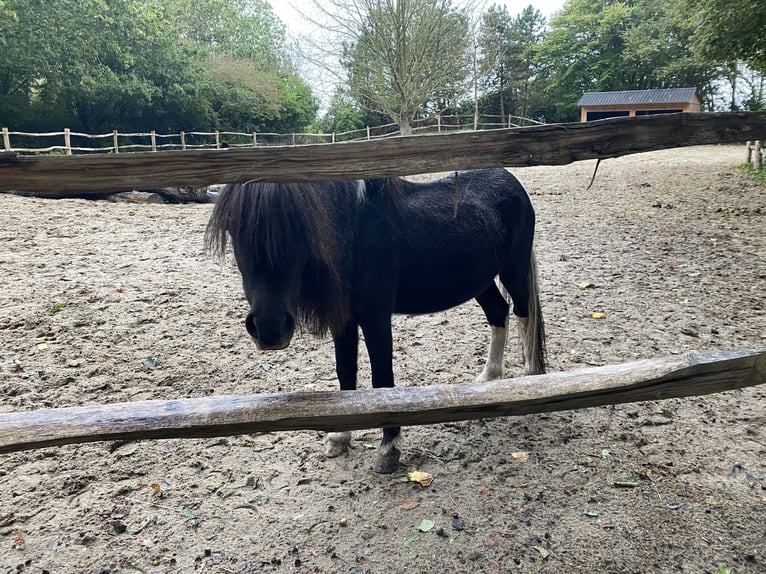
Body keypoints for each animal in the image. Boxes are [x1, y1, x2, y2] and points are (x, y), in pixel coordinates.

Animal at [206, 169, 544, 474]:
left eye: (298, 228)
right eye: (234, 231)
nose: (269, 328)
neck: (355, 236)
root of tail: (512, 180)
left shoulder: (376, 317)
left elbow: (382, 380)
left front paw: (388, 450)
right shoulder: (343, 320)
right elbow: (345, 372)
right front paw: (339, 437)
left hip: (513, 271)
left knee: (523, 315)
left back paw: (531, 382)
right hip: (480, 281)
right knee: (498, 312)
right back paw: (489, 378)